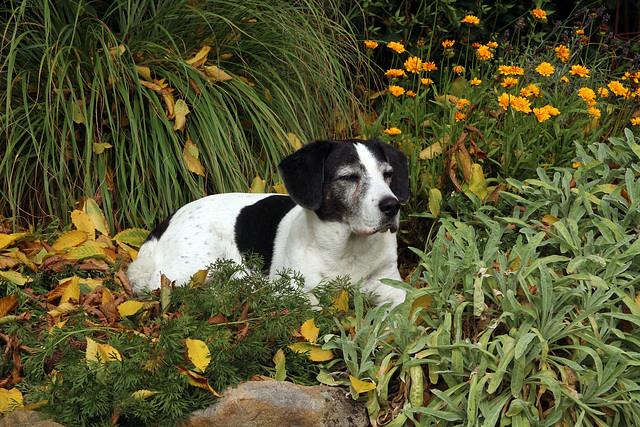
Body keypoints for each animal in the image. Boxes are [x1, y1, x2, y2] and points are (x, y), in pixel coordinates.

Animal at [126, 139, 410, 310]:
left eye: (388, 174)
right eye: (348, 177)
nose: (392, 206)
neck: (348, 251)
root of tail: (166, 221)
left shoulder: (392, 288)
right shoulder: (291, 290)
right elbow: (315, 304)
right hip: (193, 265)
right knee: (155, 286)